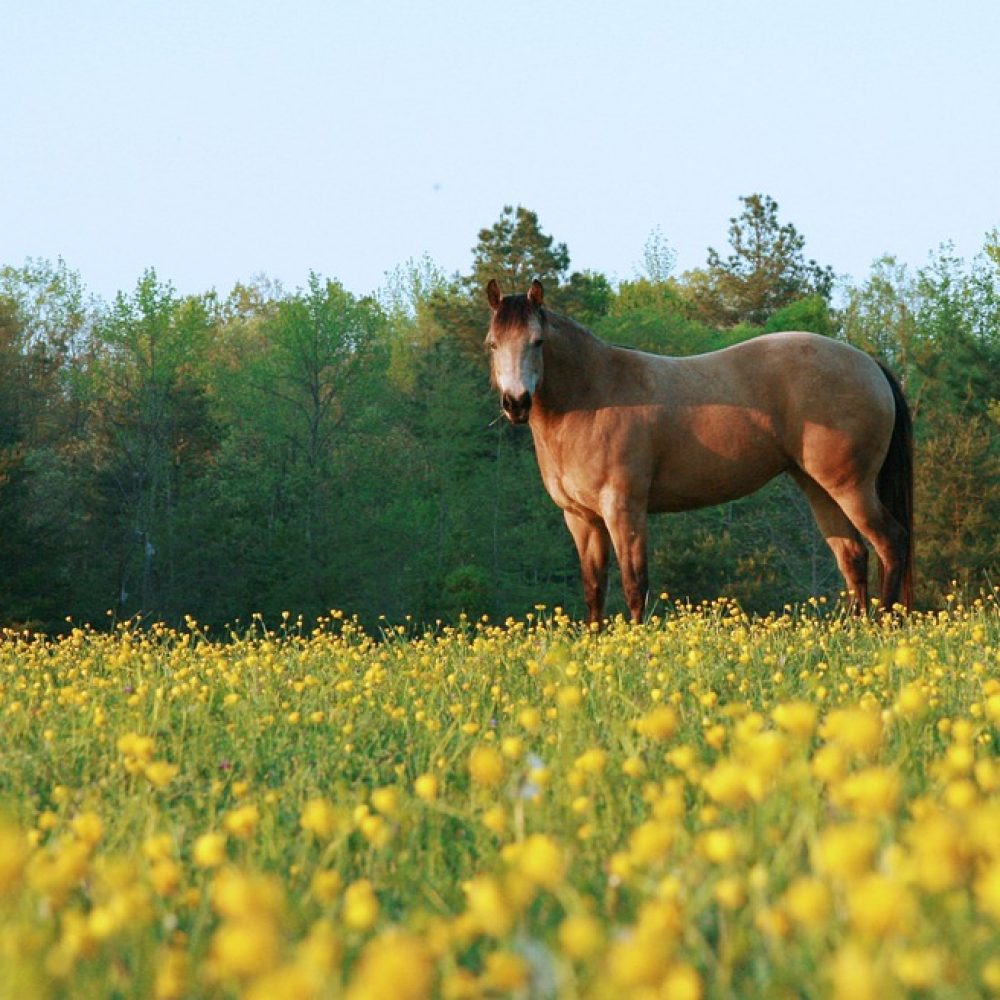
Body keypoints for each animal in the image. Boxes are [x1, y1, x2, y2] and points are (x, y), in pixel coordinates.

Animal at [485, 278, 913, 624]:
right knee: (853, 557)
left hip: (852, 488)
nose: (516, 403)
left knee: (891, 542)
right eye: (493, 344)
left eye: (538, 342)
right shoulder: (581, 518)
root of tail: (869, 363)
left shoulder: (624, 509)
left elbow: (634, 583)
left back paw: (885, 625)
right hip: (819, 488)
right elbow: (594, 589)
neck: (593, 397)